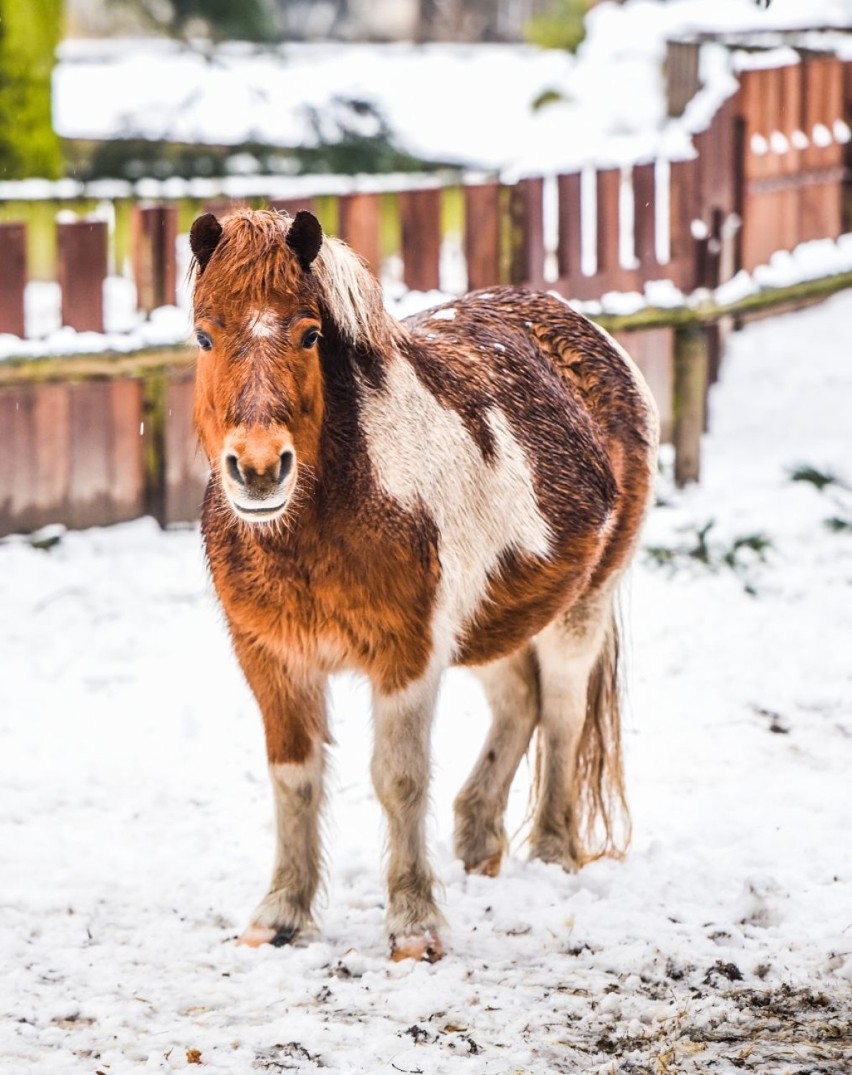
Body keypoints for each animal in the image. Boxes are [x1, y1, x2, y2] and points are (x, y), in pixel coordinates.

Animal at [188, 205, 657, 963]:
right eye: (205, 334)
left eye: (310, 332)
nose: (259, 469)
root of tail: (587, 332)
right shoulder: (272, 660)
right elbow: (294, 778)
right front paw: (281, 915)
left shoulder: (407, 657)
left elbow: (399, 779)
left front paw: (414, 926)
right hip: (492, 621)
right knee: (520, 704)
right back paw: (477, 839)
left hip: (579, 608)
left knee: (560, 713)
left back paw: (553, 849)